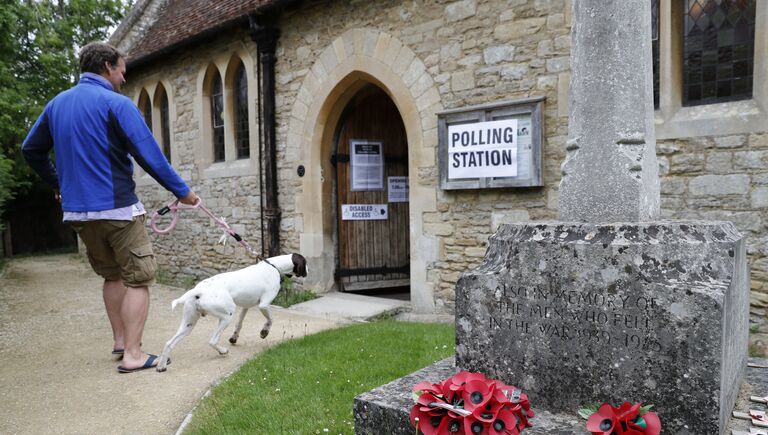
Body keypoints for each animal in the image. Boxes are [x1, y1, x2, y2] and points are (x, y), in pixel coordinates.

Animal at [157, 254, 308, 372]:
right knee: (213, 341)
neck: (274, 266)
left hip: (189, 324)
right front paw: (264, 332)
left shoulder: (246, 306)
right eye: (305, 263)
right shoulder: (263, 305)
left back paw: (161, 366)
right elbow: (271, 319)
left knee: (168, 343)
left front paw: (234, 338)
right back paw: (222, 351)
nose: (308, 270)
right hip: (226, 316)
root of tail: (199, 290)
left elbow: (239, 324)